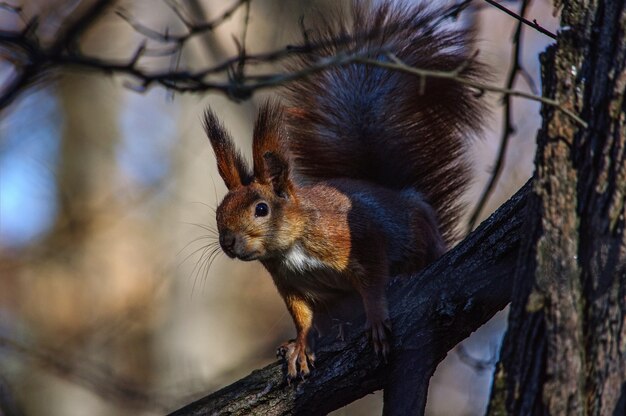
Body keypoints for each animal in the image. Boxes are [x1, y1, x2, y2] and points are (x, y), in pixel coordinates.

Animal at [201, 0, 482, 382]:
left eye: (261, 209)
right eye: (219, 211)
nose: (228, 241)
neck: (291, 249)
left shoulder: (360, 239)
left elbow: (373, 282)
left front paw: (376, 318)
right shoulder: (289, 285)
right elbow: (301, 316)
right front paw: (301, 343)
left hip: (417, 235)